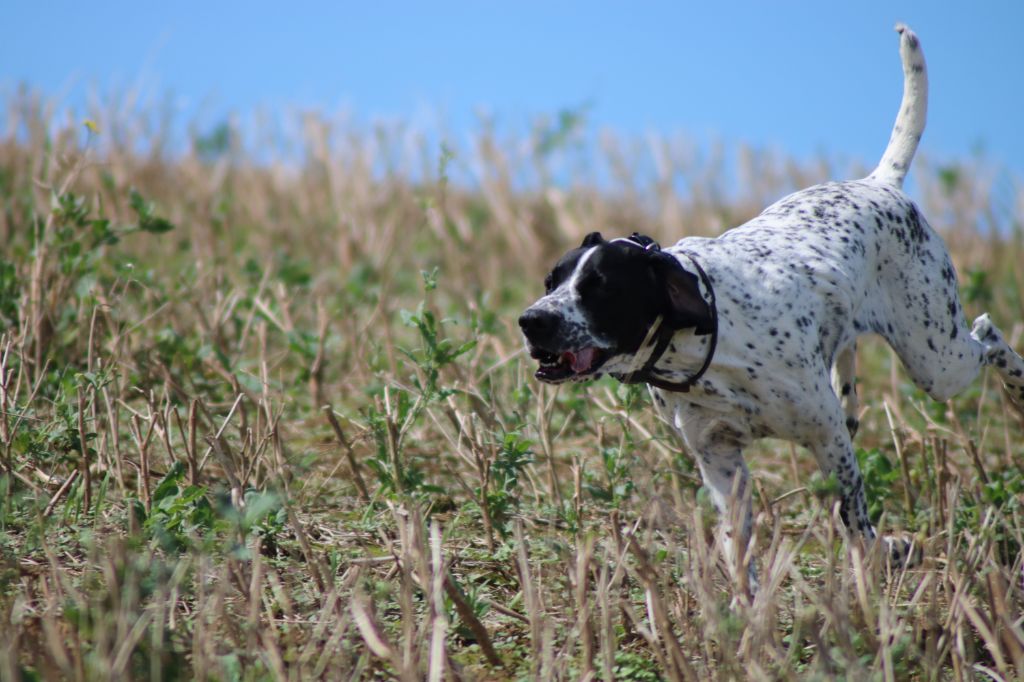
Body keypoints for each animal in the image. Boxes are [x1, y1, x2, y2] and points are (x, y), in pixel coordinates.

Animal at [520, 26, 1024, 585]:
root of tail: (879, 182)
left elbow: (852, 516)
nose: (531, 321)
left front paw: (880, 557)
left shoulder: (828, 438)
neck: (704, 340)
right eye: (552, 280)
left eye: (602, 287)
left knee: (989, 335)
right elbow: (738, 543)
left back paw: (1019, 392)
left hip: (937, 361)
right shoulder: (720, 461)